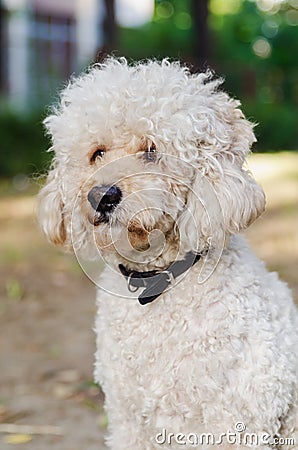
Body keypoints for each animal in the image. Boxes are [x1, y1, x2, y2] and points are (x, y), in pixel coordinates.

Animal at [38, 58, 296, 448]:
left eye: (152, 150)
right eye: (97, 153)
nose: (101, 196)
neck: (158, 282)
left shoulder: (238, 420)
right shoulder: (128, 421)